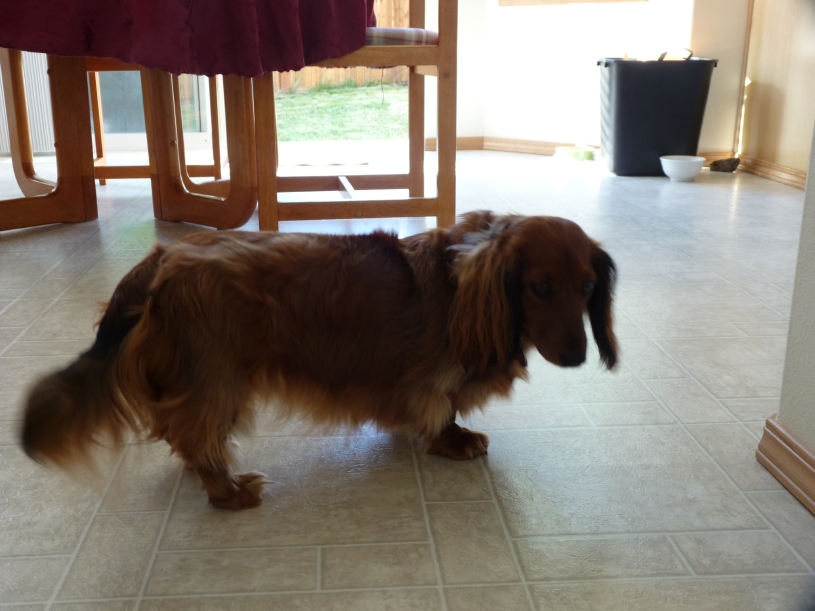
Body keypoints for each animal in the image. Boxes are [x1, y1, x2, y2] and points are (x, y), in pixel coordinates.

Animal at [21, 211, 617, 509]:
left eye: (587, 286)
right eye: (540, 287)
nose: (577, 357)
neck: (464, 283)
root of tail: (160, 258)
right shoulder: (431, 380)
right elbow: (440, 409)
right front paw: (454, 439)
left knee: (179, 430)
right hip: (218, 376)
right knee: (194, 431)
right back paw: (225, 490)